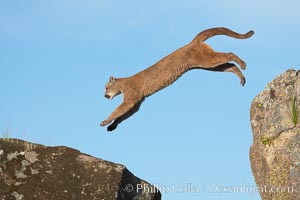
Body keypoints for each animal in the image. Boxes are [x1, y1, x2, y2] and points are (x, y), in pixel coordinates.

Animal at [100, 27, 253, 131]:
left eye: (106, 88)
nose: (104, 96)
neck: (122, 85)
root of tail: (192, 42)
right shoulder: (136, 103)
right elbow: (122, 116)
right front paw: (111, 126)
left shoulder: (131, 99)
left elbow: (118, 111)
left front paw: (105, 121)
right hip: (208, 65)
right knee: (229, 66)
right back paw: (242, 79)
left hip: (207, 59)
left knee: (229, 54)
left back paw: (243, 64)